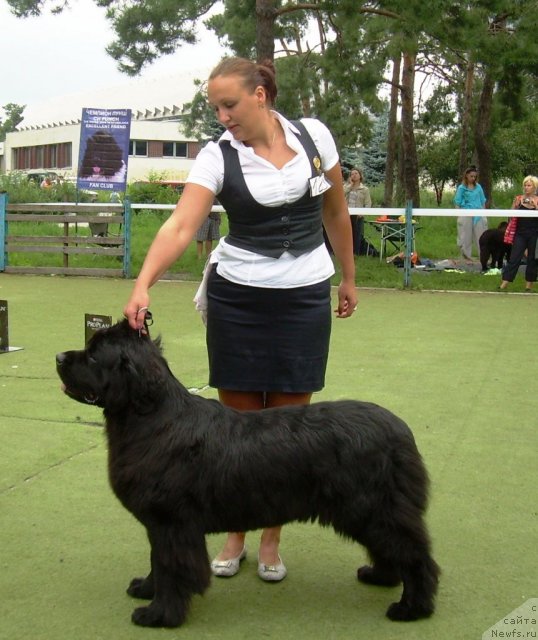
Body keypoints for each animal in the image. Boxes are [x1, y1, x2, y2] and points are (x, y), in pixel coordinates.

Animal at [55, 322, 440, 628]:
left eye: (94, 356)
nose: (58, 356)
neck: (150, 418)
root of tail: (401, 430)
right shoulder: (159, 525)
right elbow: (157, 562)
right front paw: (145, 589)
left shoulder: (172, 523)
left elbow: (172, 568)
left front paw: (159, 615)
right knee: (392, 548)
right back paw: (379, 577)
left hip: (374, 508)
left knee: (415, 555)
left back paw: (412, 608)